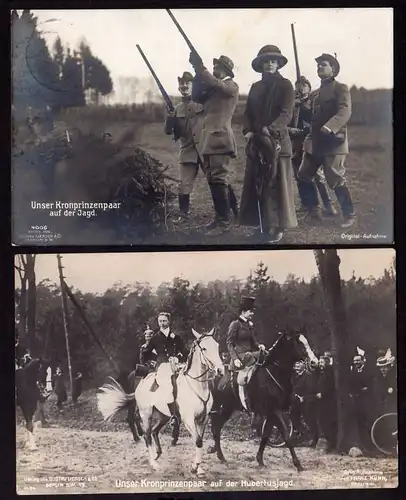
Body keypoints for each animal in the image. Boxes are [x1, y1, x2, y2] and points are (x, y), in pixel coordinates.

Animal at [98, 328, 225, 476]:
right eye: (204, 348)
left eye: (217, 346)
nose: (220, 370)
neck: (196, 385)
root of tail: (142, 382)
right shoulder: (188, 420)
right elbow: (198, 441)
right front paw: (194, 467)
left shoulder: (202, 420)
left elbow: (199, 441)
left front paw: (198, 468)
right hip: (146, 415)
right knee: (147, 435)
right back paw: (154, 464)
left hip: (162, 416)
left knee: (154, 431)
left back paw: (156, 454)